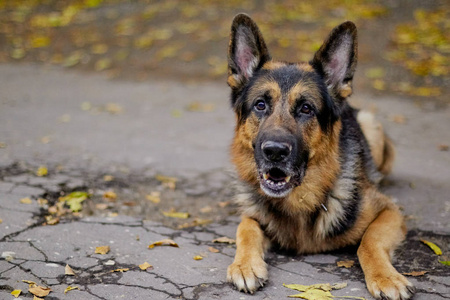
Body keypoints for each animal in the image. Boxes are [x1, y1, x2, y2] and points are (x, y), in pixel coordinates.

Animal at [225, 12, 414, 298]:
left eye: (306, 108)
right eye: (260, 105)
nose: (274, 151)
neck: (300, 202)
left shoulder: (390, 211)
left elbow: (369, 241)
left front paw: (385, 277)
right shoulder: (252, 215)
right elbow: (245, 228)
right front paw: (245, 264)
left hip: (371, 126)